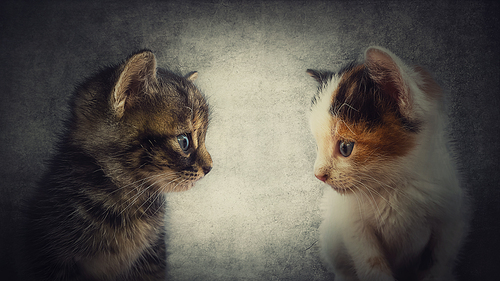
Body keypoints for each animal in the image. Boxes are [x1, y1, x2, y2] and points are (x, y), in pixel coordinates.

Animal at [308, 47, 468, 278]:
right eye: (317, 146)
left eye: (345, 148)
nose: (318, 175)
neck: (394, 188)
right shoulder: (354, 226)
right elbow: (372, 266)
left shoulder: (451, 219)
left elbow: (437, 264)